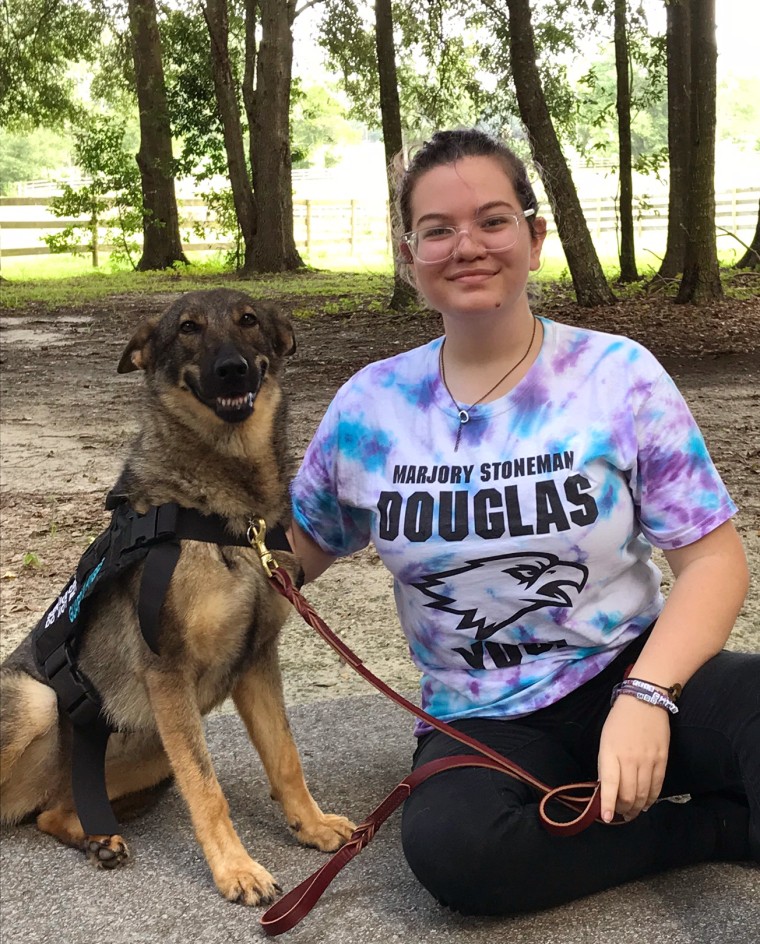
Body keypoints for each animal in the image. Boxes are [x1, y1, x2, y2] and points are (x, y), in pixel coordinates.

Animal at [0, 290, 354, 908]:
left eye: (248, 320)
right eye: (187, 329)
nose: (231, 368)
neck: (224, 518)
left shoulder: (256, 663)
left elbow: (286, 758)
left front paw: (310, 826)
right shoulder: (169, 674)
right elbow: (208, 789)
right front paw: (236, 869)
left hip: (146, 747)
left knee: (54, 812)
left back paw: (98, 838)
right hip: (38, 702)